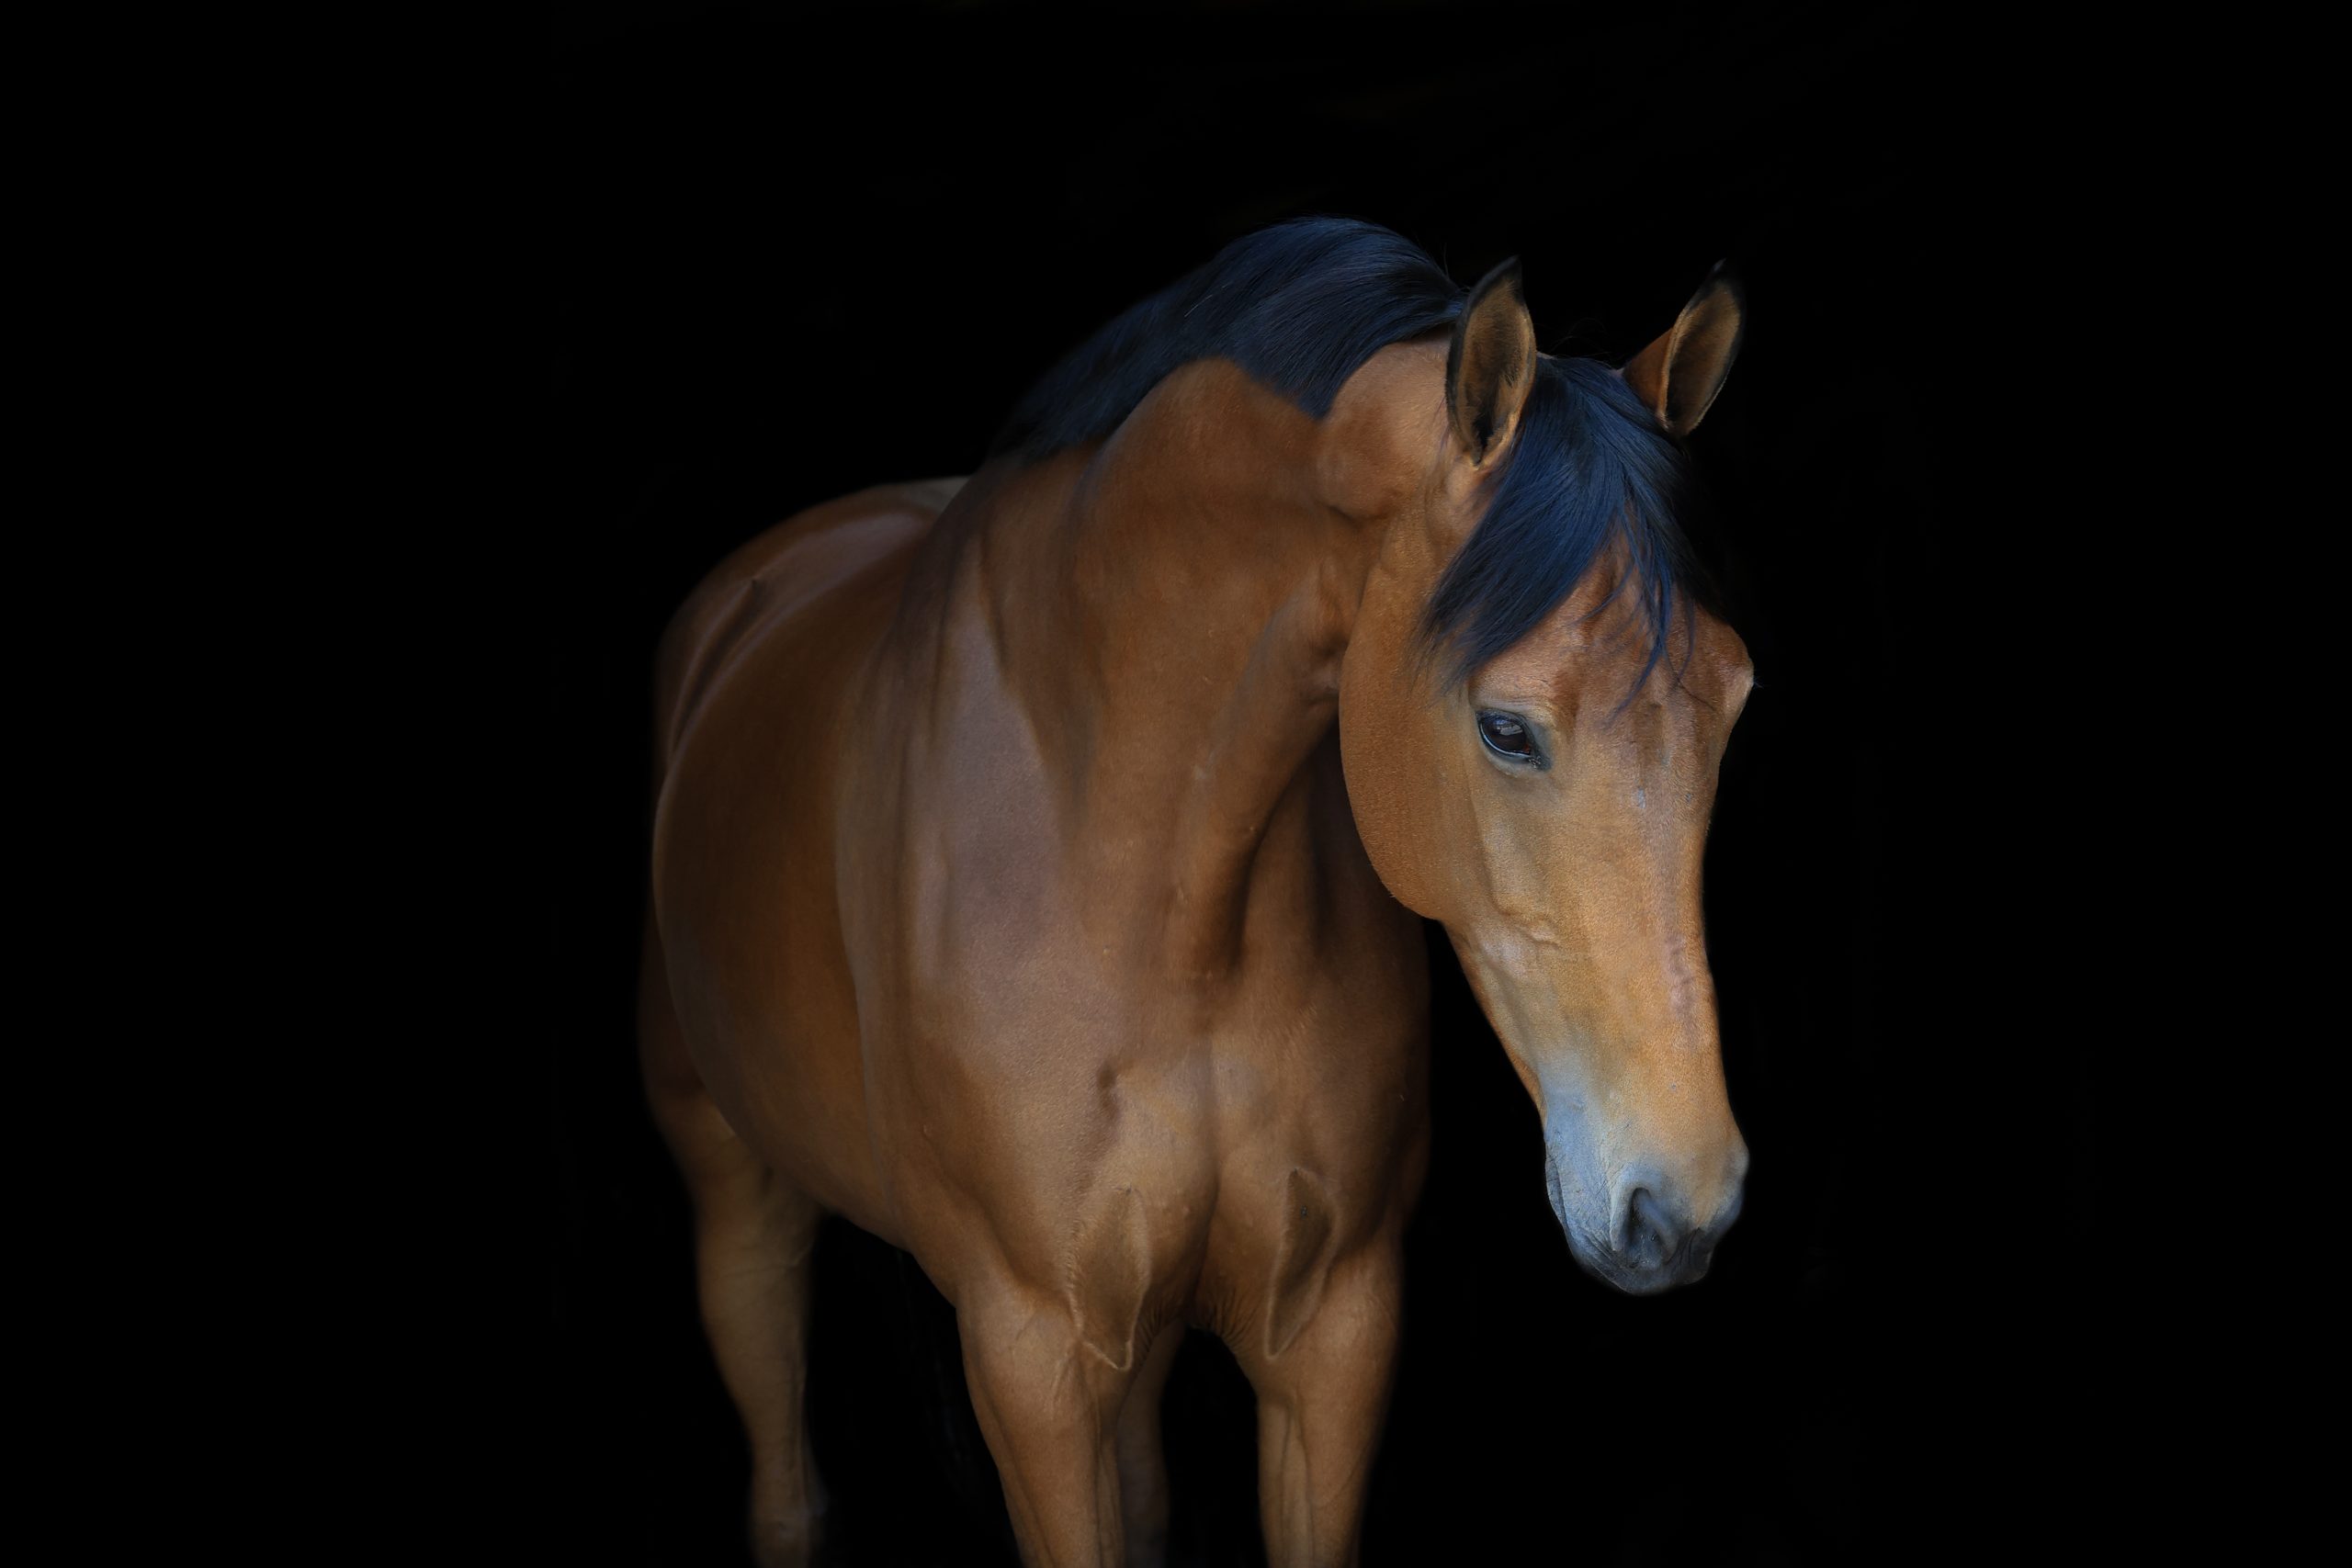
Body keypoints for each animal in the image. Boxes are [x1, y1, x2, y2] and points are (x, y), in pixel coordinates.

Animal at [639, 217, 1753, 1568]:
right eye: (1507, 728)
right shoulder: (1032, 1355)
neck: (1147, 881)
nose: (1682, 1206)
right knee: (785, 1475)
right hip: (734, 1186)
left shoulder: (1332, 1328)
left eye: (1735, 697)